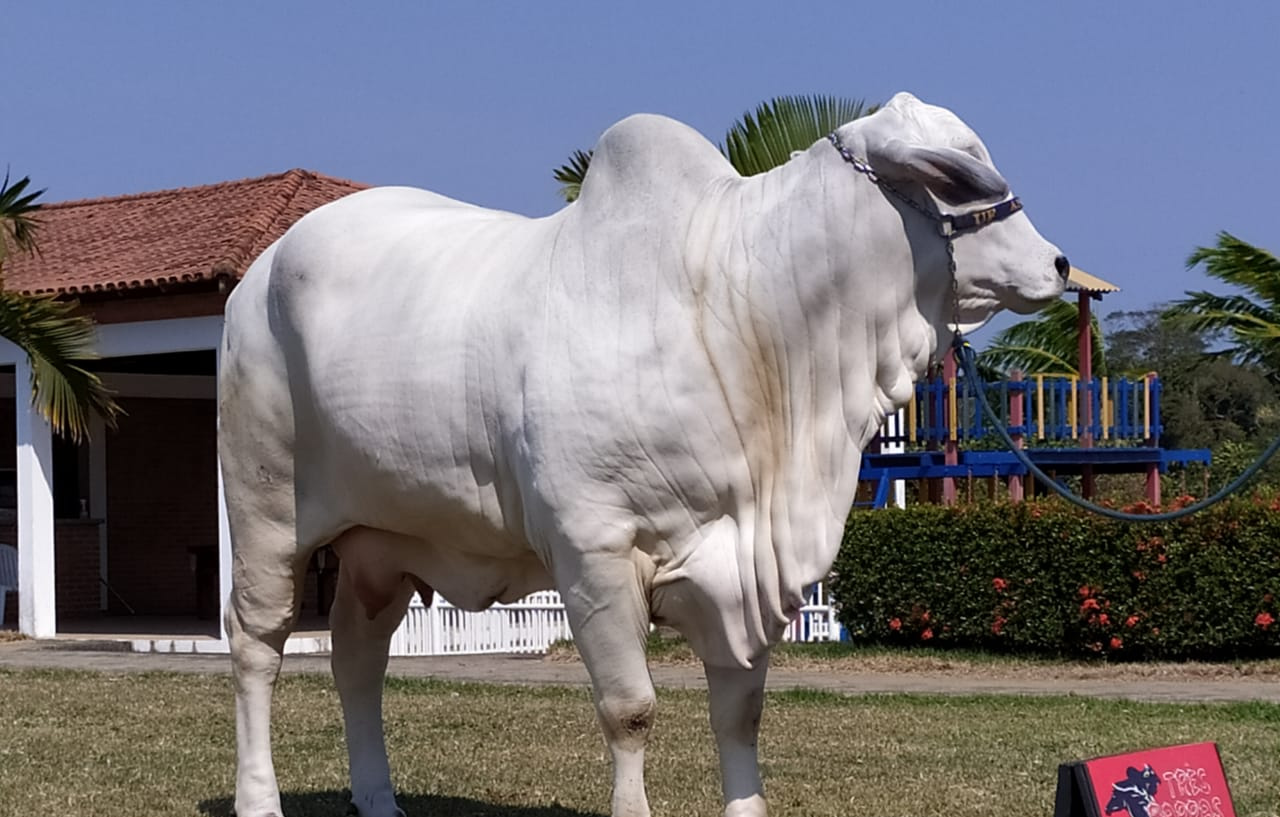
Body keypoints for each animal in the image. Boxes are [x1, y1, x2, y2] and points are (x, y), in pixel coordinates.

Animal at [222, 90, 1070, 817]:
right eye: (958, 170)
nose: (1059, 265)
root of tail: (261, 270)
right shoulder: (593, 549)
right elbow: (629, 709)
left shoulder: (742, 567)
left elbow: (740, 714)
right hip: (265, 516)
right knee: (258, 648)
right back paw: (258, 796)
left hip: (382, 544)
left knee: (358, 659)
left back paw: (377, 796)